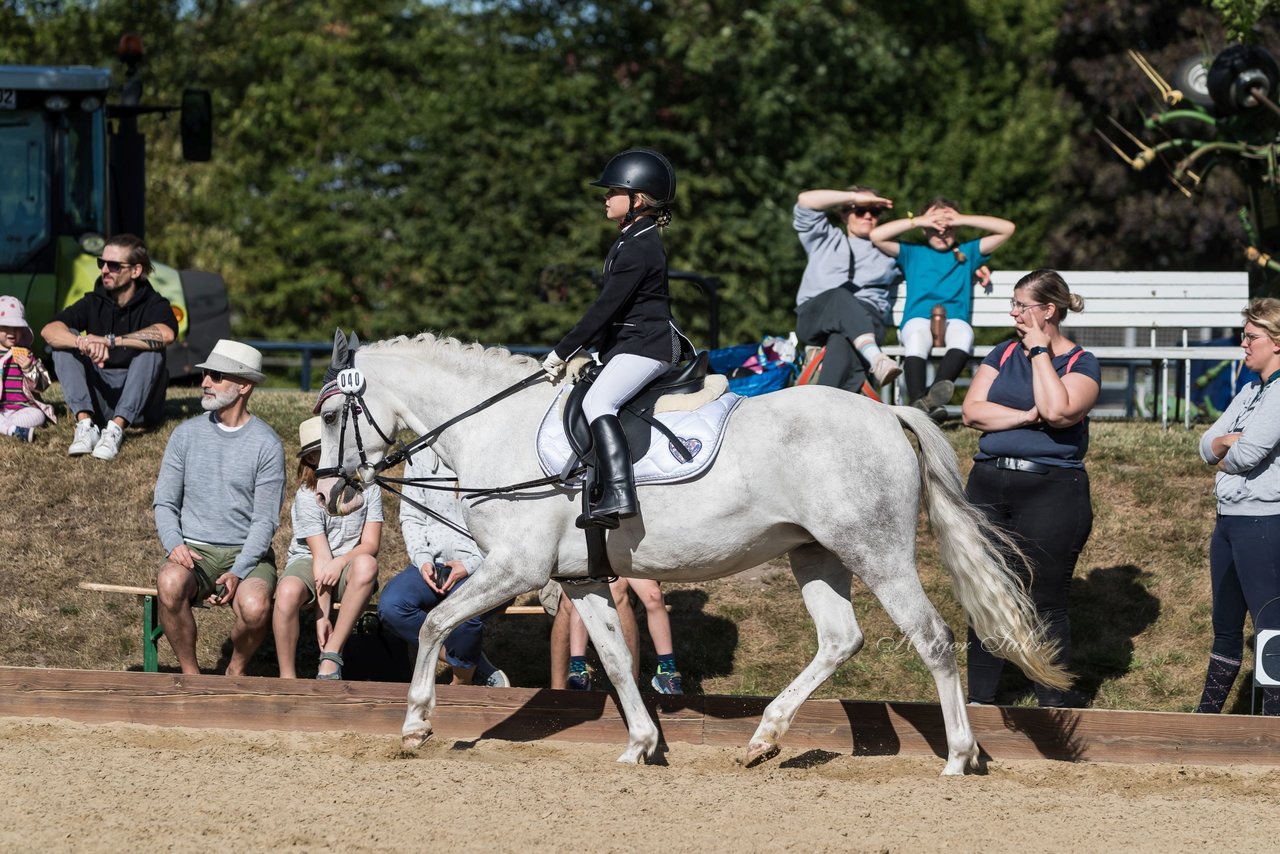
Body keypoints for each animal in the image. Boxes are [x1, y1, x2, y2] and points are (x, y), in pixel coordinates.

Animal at [314, 332, 1064, 773]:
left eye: (329, 415)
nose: (329, 492)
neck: (496, 425)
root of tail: (886, 411)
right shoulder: (581, 579)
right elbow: (617, 659)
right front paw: (641, 745)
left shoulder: (514, 568)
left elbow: (437, 624)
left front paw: (415, 725)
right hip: (815, 554)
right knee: (839, 638)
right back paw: (764, 738)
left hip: (875, 552)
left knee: (931, 638)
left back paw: (958, 757)